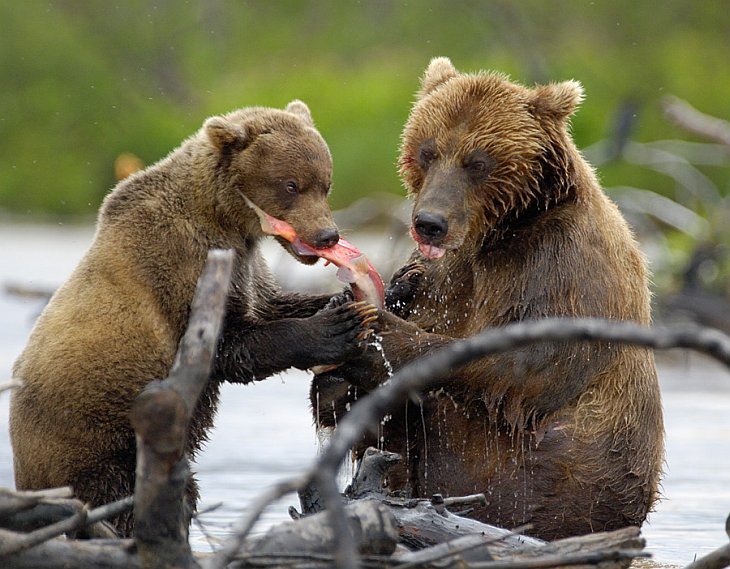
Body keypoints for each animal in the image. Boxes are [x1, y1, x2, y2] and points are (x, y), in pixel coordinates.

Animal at [9, 100, 376, 536]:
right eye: (290, 184)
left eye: (326, 183)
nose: (327, 235)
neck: (224, 218)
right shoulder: (182, 263)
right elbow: (229, 345)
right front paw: (334, 328)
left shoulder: (246, 266)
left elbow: (271, 303)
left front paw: (348, 300)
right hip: (94, 443)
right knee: (119, 499)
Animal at [310, 60, 664, 540]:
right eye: (428, 151)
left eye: (477, 161)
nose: (430, 223)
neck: (498, 232)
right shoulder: (442, 275)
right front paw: (335, 364)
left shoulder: (559, 266)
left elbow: (525, 362)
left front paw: (378, 336)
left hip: (568, 480)